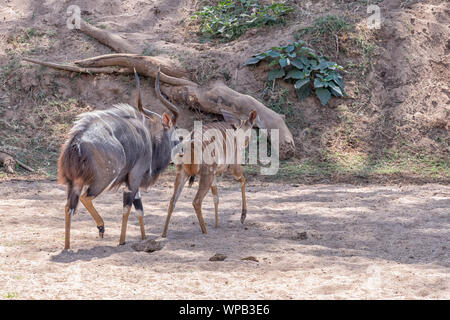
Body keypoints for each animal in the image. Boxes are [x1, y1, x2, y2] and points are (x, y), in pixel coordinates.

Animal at [58, 70, 179, 250]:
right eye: (178, 139)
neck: (150, 142)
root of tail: (77, 141)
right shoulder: (134, 178)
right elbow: (128, 208)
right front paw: (122, 241)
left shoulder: (132, 182)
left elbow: (139, 209)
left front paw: (144, 239)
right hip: (104, 179)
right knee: (85, 198)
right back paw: (101, 227)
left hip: (75, 183)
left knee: (68, 207)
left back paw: (67, 247)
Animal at [163, 108, 258, 238]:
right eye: (252, 126)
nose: (246, 143)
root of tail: (189, 144)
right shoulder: (232, 166)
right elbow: (243, 180)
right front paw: (243, 216)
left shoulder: (214, 174)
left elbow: (216, 197)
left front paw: (216, 225)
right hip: (206, 174)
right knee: (196, 201)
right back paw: (205, 231)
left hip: (182, 173)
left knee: (173, 201)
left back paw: (163, 234)